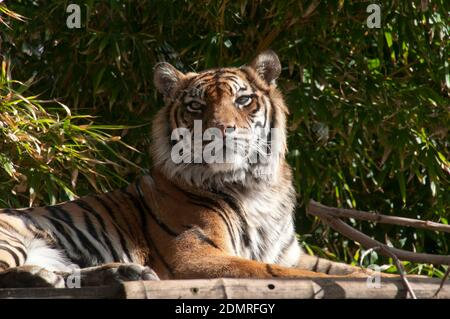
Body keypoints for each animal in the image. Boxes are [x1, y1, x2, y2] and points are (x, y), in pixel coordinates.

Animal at [0, 50, 366, 290]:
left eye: (243, 100)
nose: (220, 129)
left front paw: (375, 273)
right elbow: (278, 272)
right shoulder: (193, 254)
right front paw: (366, 277)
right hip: (12, 238)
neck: (255, 185)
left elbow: (336, 267)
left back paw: (123, 273)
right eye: (195, 106)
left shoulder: (289, 253)